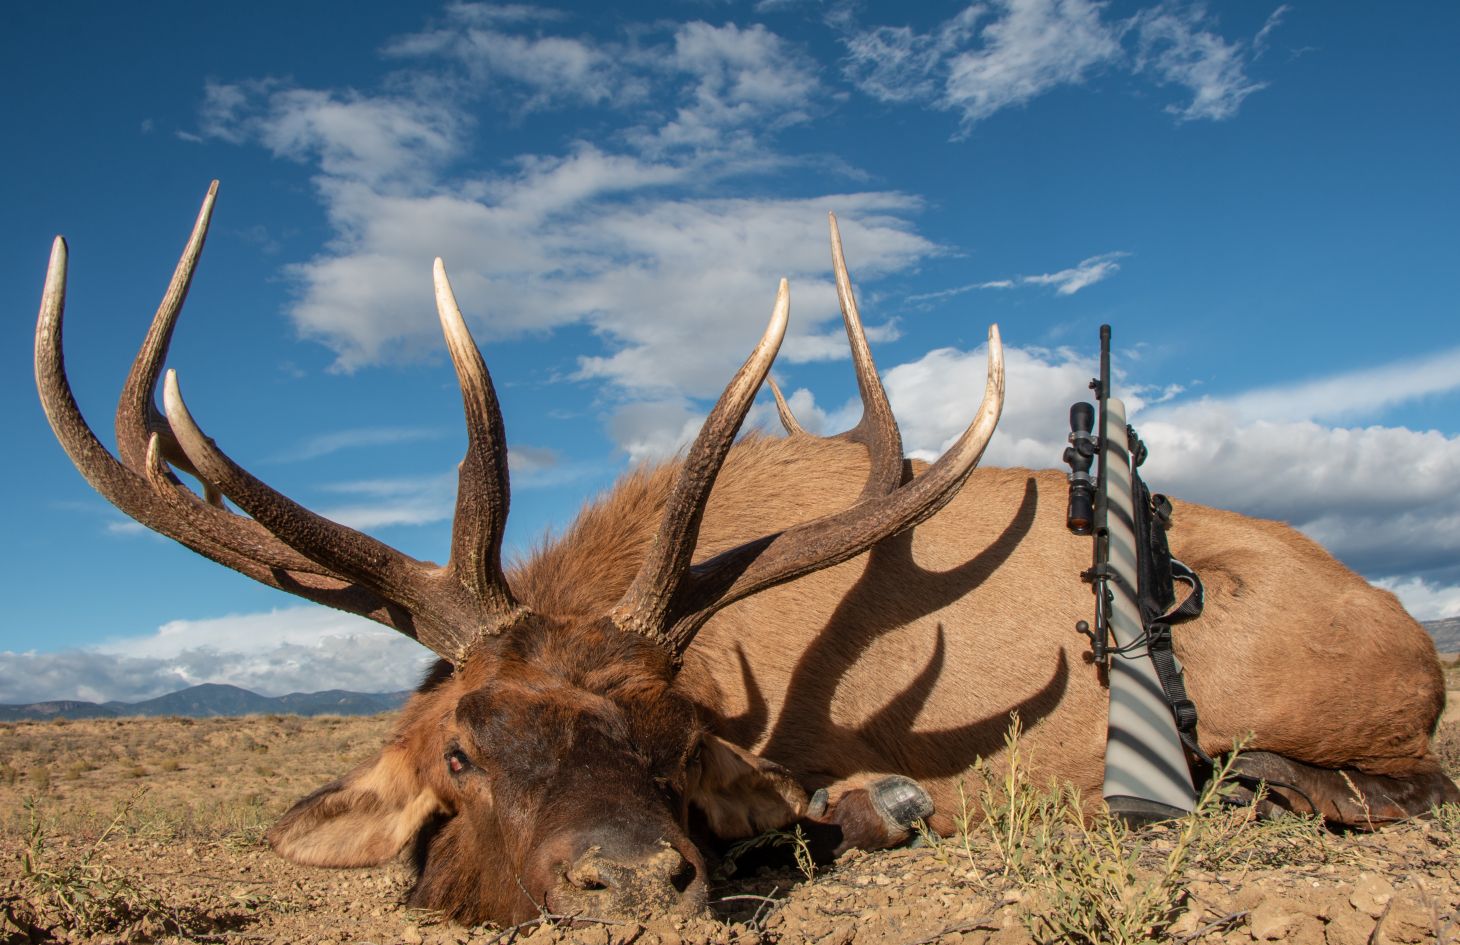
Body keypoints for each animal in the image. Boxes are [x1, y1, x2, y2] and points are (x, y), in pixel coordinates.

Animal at [35, 183, 1458, 927]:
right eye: (460, 751)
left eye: (672, 750)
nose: (626, 882)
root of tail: (1412, 638)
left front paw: (872, 809)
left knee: (1386, 787)